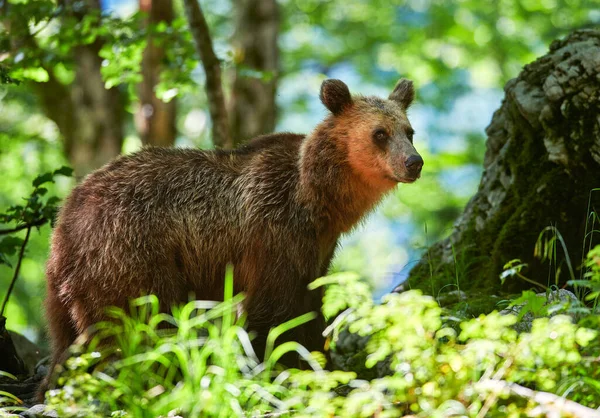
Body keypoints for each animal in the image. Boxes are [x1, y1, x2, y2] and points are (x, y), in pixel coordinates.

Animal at [41, 77, 422, 396]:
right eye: (380, 133)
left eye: (409, 131)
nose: (413, 162)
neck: (317, 201)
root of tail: (67, 217)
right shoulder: (272, 233)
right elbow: (272, 316)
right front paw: (277, 369)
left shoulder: (315, 250)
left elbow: (310, 310)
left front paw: (319, 363)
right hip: (129, 253)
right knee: (140, 325)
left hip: (66, 290)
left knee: (67, 345)